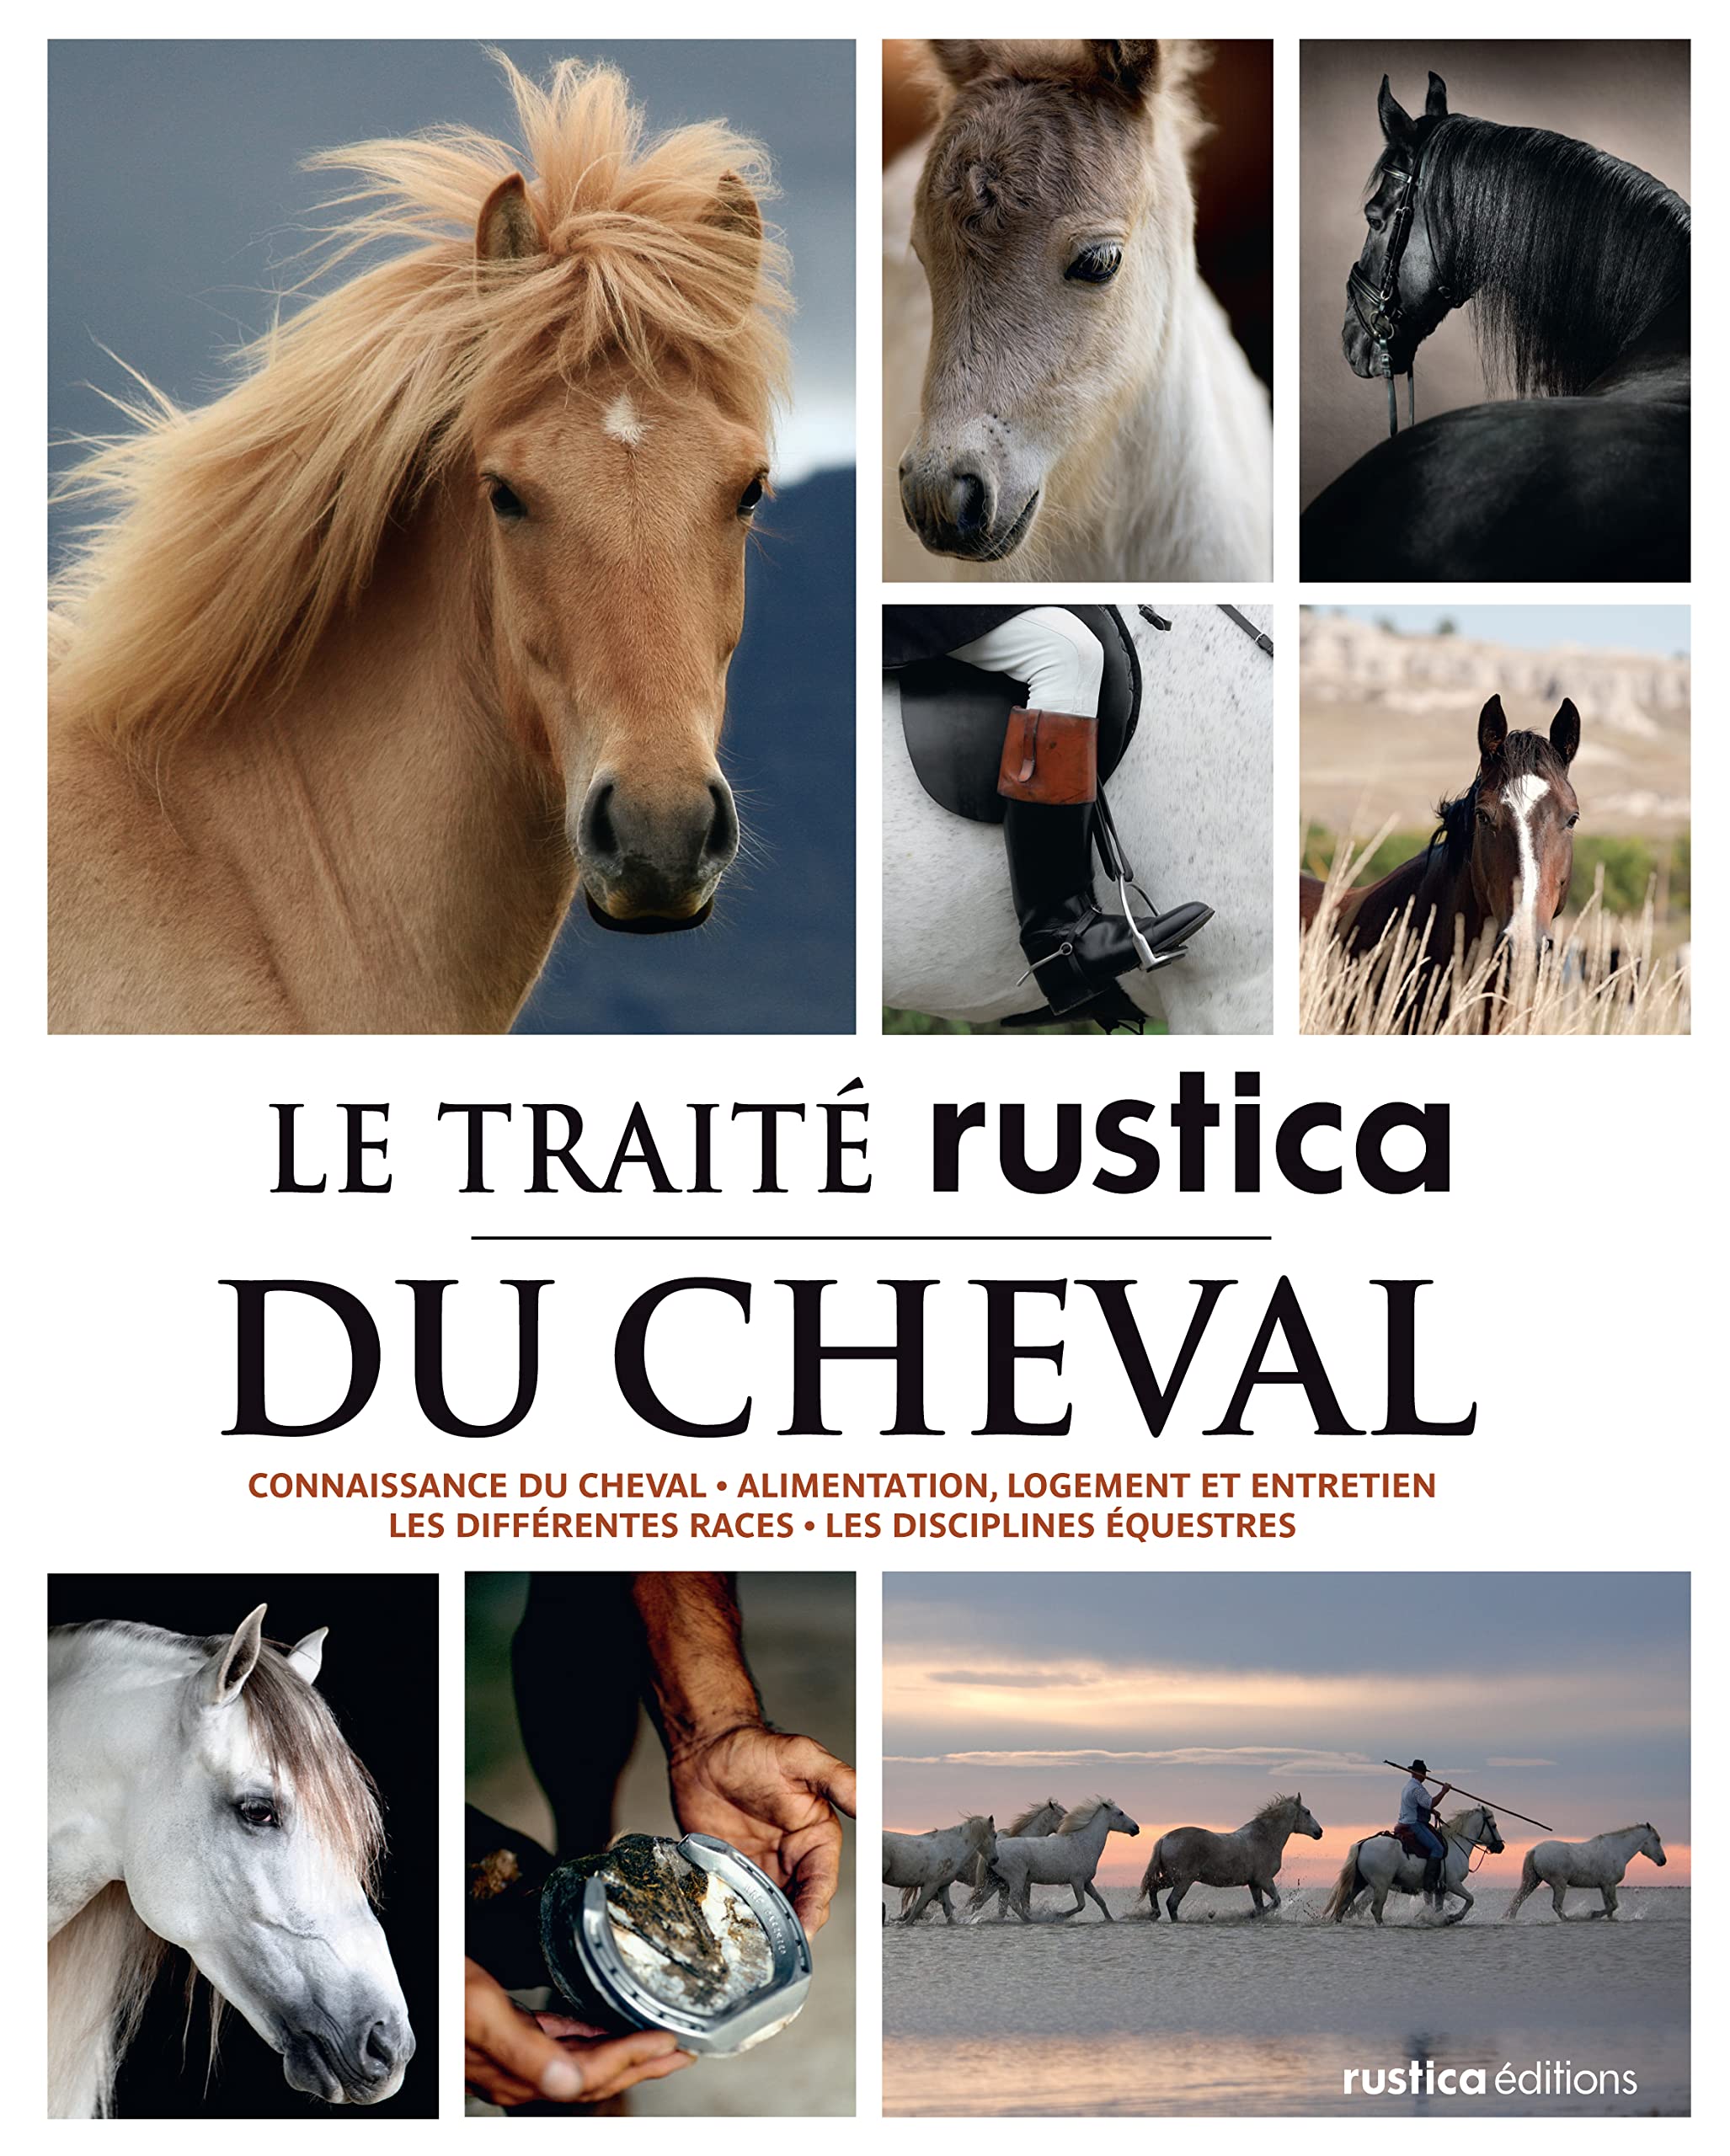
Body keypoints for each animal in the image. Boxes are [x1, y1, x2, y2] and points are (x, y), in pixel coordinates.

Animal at [882, 1814, 995, 1925]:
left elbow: (948, 1910)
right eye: (995, 1835)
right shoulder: (931, 1885)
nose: (995, 1859)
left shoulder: (943, 1886)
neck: (951, 1848)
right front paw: (905, 1924)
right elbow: (919, 1907)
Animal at [968, 1796, 1140, 1922]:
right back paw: (1030, 1920)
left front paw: (1110, 1920)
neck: (1083, 1843)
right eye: (1120, 1813)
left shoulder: (1086, 1882)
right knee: (1013, 1902)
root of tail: (994, 1853)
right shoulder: (1077, 1881)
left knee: (979, 1902)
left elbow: (1100, 1901)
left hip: (996, 1882)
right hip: (1016, 1879)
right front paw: (1058, 1915)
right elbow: (1081, 1905)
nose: (1136, 1828)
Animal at [1136, 1793, 1323, 1922]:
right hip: (1183, 1881)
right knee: (1172, 1903)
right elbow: (1275, 1902)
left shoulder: (1254, 1883)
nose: (1320, 1832)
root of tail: (1164, 1838)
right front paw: (1247, 1914)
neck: (1263, 1838)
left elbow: (1261, 1906)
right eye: (1307, 1812)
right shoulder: (1264, 1880)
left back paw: (1155, 1914)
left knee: (1153, 1888)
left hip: (1171, 1878)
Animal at [1323, 1805, 1505, 1926]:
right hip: (1380, 1886)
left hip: (1358, 1884)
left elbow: (1438, 1908)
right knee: (1374, 1909)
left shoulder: (1440, 1889)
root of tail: (1361, 1844)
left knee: (1344, 1906)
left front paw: (1437, 1919)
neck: (1456, 1844)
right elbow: (1470, 1900)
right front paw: (1453, 1917)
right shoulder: (1453, 1884)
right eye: (1494, 1825)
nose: (1501, 1846)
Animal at [1505, 1824, 1667, 1921]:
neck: (1617, 1850)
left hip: (1532, 1881)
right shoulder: (1609, 1885)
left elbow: (1610, 1908)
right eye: (1657, 1839)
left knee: (1517, 1900)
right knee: (1556, 1905)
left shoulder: (1604, 1886)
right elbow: (1614, 1905)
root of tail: (1535, 1850)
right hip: (1559, 1884)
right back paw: (1570, 1919)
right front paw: (1592, 1914)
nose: (1663, 1861)